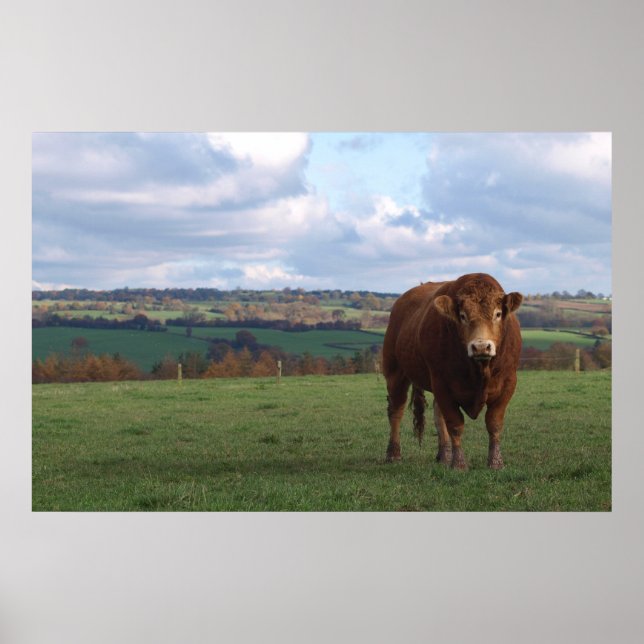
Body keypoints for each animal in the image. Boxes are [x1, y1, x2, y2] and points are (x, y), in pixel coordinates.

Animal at [382, 273, 523, 470]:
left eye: (498, 314)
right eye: (463, 316)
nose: (481, 347)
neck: (479, 371)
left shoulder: (508, 383)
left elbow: (494, 423)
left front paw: (495, 463)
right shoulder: (442, 384)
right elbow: (455, 424)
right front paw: (459, 464)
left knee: (437, 414)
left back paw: (444, 455)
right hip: (395, 371)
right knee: (396, 410)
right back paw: (393, 453)